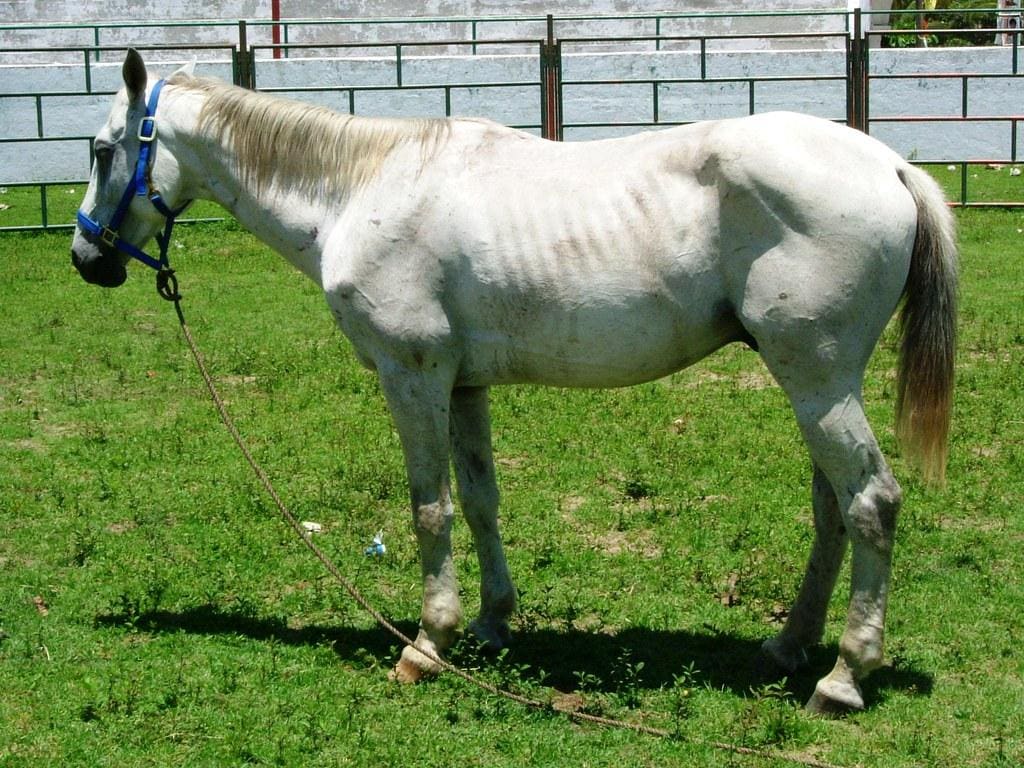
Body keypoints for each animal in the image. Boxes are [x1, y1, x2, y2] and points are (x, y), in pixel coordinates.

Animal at [71, 49, 957, 714]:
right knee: (833, 510)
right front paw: (493, 623)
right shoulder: (464, 387)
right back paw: (789, 645)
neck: (361, 188)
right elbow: (480, 500)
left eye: (103, 149)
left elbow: (428, 509)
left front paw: (428, 645)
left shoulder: (413, 377)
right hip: (816, 385)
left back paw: (842, 679)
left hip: (819, 382)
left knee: (871, 503)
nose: (87, 257)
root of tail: (890, 165)